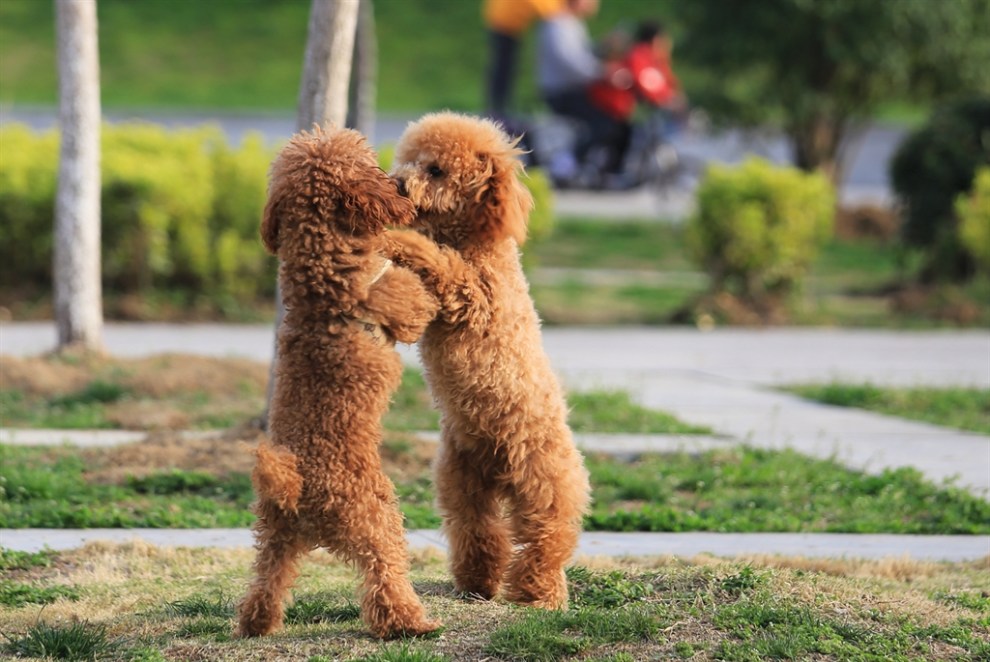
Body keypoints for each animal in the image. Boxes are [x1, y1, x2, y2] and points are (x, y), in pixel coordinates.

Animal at [238, 114, 588, 644]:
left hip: (543, 481)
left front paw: (397, 240)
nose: (400, 183)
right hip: (458, 481)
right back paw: (471, 590)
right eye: (409, 161)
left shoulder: (473, 294)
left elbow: (437, 264)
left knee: (545, 541)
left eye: (437, 170)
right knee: (478, 534)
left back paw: (538, 596)